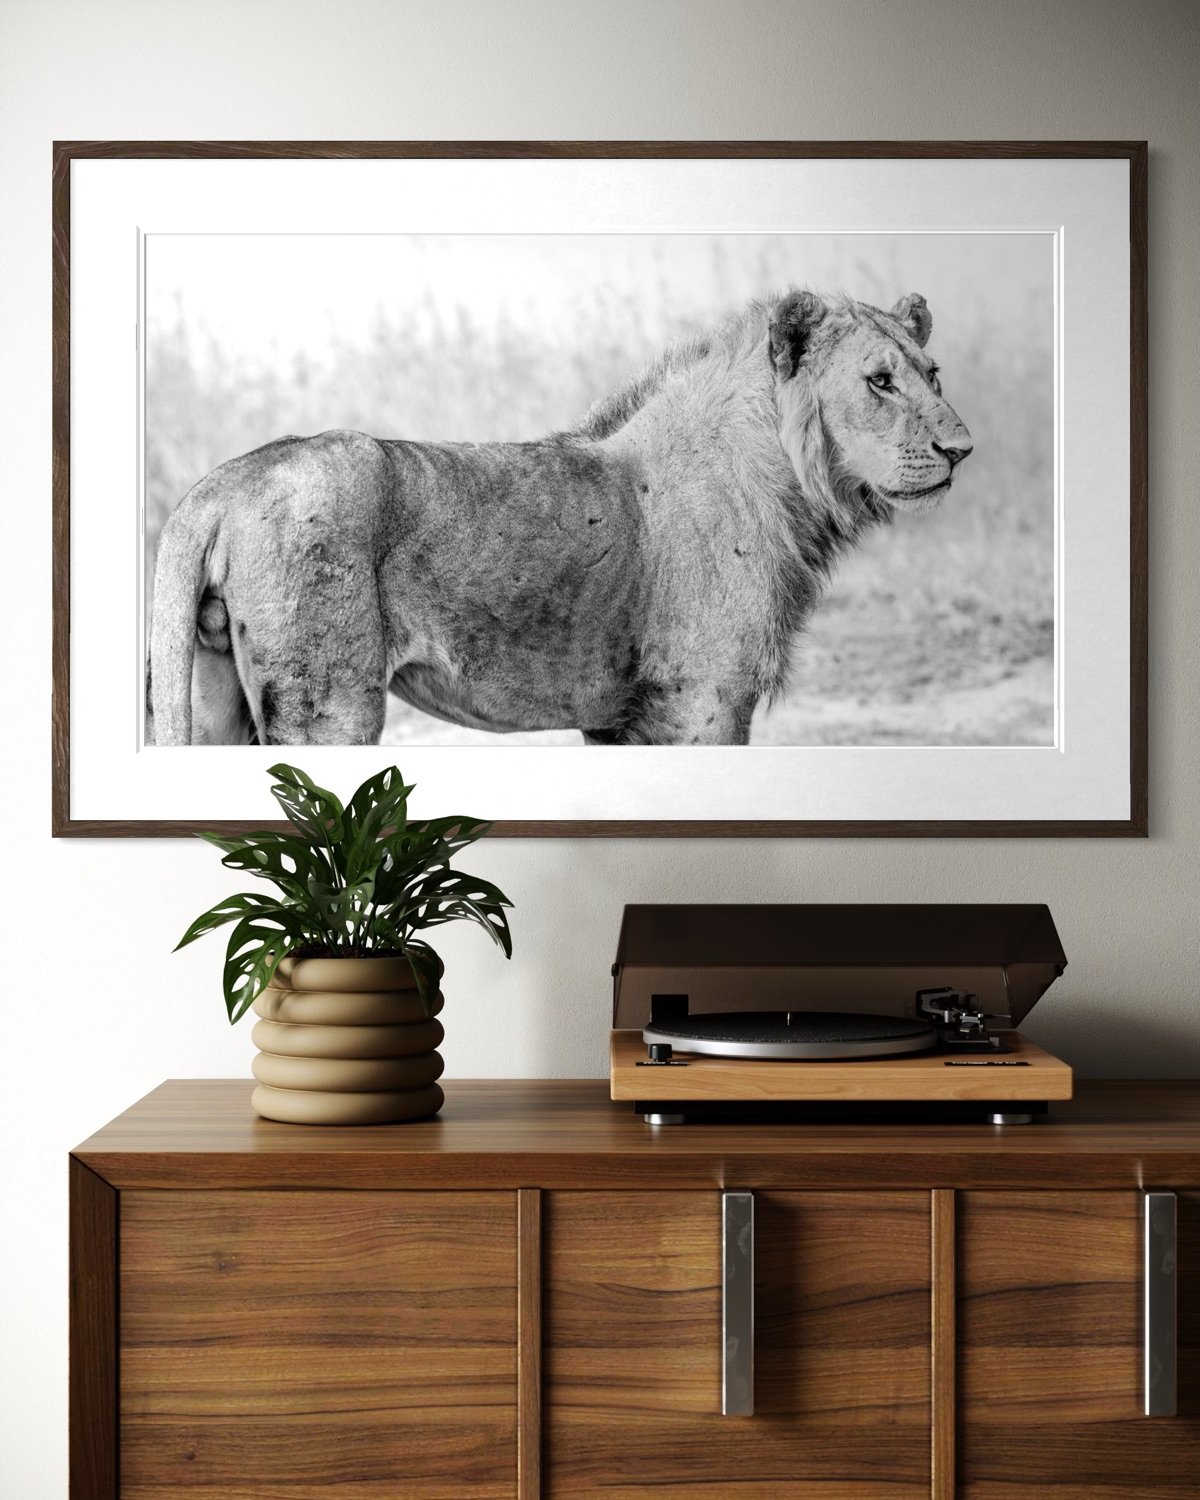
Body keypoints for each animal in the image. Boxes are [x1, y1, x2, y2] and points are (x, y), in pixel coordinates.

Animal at [148, 287, 973, 747]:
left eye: (934, 375)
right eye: (880, 382)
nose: (961, 448)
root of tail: (221, 483)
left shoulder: (624, 721)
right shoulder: (700, 703)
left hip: (215, 703)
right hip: (328, 708)